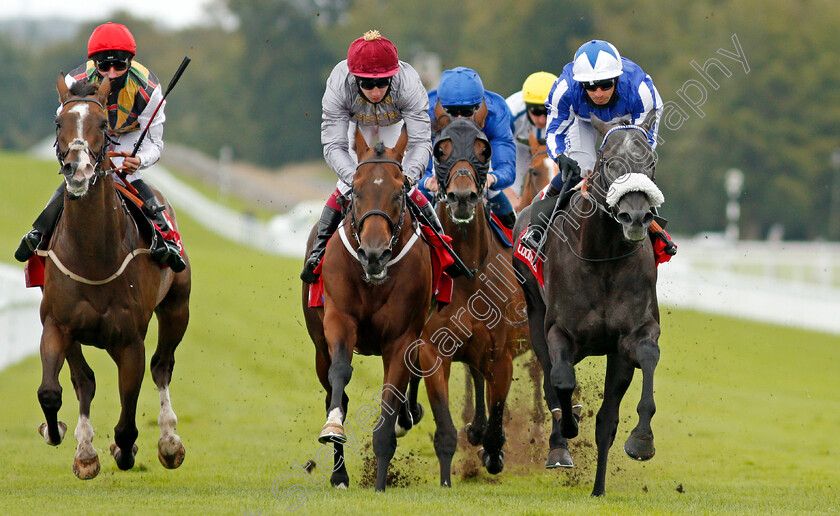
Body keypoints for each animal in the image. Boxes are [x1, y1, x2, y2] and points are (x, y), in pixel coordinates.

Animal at [35, 76, 191, 480]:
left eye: (103, 124)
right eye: (59, 123)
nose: (77, 170)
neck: (93, 256)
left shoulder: (130, 340)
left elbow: (127, 420)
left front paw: (127, 449)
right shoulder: (57, 323)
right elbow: (53, 391)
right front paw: (61, 434)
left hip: (177, 308)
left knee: (162, 366)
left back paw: (168, 442)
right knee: (84, 381)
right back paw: (84, 447)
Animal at [302, 128, 434, 492]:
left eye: (399, 191)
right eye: (356, 191)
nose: (374, 254)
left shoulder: (403, 337)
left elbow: (393, 395)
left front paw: (380, 481)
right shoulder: (339, 319)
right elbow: (340, 373)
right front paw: (333, 428)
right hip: (318, 345)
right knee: (335, 388)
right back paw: (339, 474)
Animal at [512, 112, 664, 496]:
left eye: (651, 163)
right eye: (609, 163)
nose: (636, 216)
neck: (603, 256)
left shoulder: (631, 336)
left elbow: (645, 362)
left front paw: (641, 440)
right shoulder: (558, 331)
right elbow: (562, 380)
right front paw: (566, 429)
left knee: (604, 419)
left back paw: (597, 488)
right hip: (534, 313)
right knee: (550, 378)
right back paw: (559, 444)